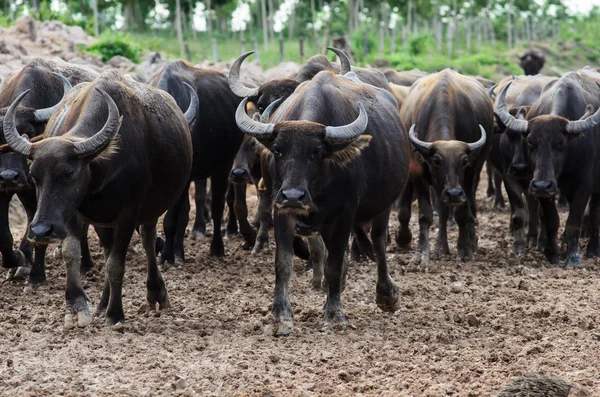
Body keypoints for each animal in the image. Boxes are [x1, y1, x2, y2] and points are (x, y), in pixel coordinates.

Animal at [2, 70, 195, 324]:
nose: (41, 231)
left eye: (68, 173)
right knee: (108, 249)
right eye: (34, 175)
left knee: (147, 239)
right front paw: (76, 305)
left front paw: (115, 314)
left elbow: (116, 265)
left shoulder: (128, 215)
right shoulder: (74, 214)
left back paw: (155, 294)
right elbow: (72, 252)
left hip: (149, 210)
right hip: (103, 221)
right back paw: (102, 304)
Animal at [233, 70, 408, 334]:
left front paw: (335, 315)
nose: (293, 196)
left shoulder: (344, 214)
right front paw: (281, 317)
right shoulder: (281, 210)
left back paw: (387, 295)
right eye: (277, 149)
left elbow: (334, 264)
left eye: (316, 151)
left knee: (378, 243)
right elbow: (283, 263)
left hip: (383, 206)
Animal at [396, 69, 494, 264]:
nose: (454, 194)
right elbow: (426, 214)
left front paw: (465, 251)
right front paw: (421, 254)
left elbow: (462, 213)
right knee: (441, 209)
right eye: (436, 161)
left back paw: (468, 241)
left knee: (466, 205)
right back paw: (440, 247)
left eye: (463, 161)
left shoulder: (468, 174)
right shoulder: (418, 172)